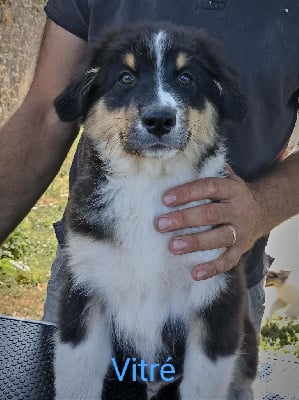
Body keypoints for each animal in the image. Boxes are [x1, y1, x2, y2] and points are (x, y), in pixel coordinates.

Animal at [55, 25, 258, 400]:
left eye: (186, 77)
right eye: (125, 77)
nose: (159, 120)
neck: (148, 185)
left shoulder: (216, 299)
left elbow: (201, 387)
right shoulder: (84, 294)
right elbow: (77, 381)